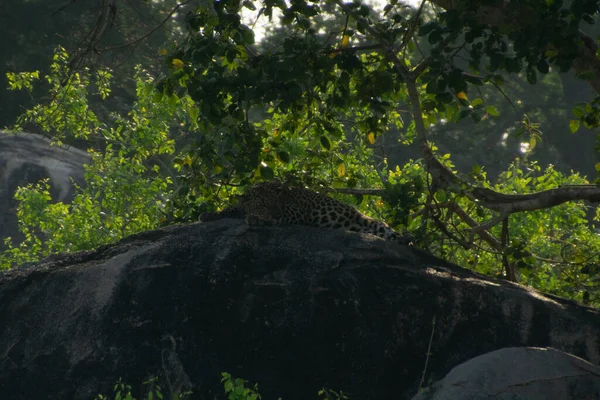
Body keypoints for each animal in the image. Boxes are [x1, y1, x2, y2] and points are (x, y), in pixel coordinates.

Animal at [200, 180, 412, 244]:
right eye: (263, 204)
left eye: (278, 203)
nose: (275, 214)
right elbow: (231, 208)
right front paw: (209, 215)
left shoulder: (298, 212)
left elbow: (279, 218)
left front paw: (256, 219)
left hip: (372, 223)